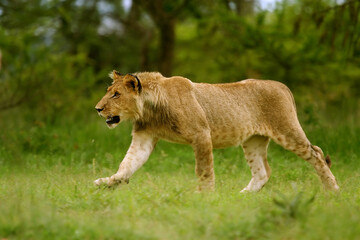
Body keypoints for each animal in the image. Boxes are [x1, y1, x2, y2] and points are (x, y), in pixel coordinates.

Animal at [93, 71, 340, 191]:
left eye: (116, 95)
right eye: (109, 91)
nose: (97, 109)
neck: (149, 110)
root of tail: (282, 85)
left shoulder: (201, 134)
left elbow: (204, 171)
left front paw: (205, 198)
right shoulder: (144, 138)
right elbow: (127, 164)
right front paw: (107, 183)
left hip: (286, 130)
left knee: (317, 154)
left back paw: (333, 190)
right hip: (253, 140)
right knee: (263, 172)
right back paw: (241, 197)